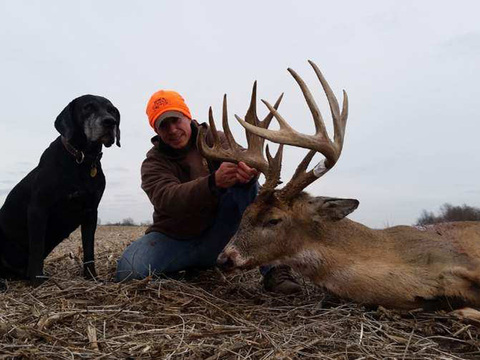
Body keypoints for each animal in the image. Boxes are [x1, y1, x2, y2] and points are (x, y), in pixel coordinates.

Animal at [0, 94, 120, 286]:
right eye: (88, 107)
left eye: (112, 110)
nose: (110, 122)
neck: (82, 160)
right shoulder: (38, 209)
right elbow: (37, 247)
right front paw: (37, 281)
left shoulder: (90, 212)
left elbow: (89, 249)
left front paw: (92, 277)